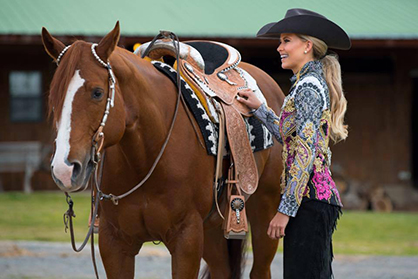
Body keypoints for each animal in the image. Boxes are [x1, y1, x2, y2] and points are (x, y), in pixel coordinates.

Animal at [41, 22, 284, 279]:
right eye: (53, 96)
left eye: (97, 92)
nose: (65, 170)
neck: (146, 157)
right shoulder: (113, 242)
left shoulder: (186, 239)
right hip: (213, 229)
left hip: (264, 212)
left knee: (260, 269)